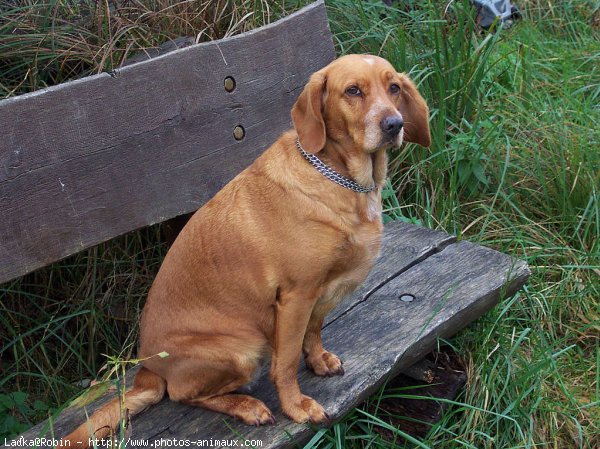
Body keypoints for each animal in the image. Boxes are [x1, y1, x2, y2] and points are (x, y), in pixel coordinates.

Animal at [62, 54, 432, 446]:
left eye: (394, 87)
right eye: (353, 91)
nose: (394, 124)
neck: (339, 177)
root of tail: (148, 370)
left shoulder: (320, 293)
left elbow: (314, 330)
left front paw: (317, 360)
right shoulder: (295, 297)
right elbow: (286, 363)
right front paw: (296, 406)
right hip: (244, 349)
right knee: (181, 394)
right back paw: (246, 406)